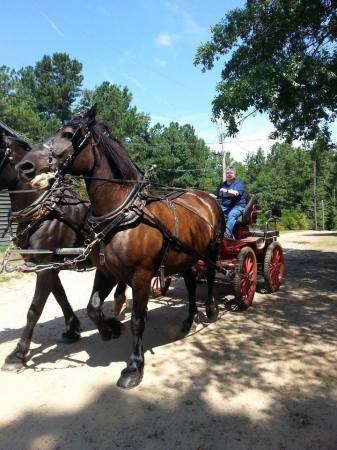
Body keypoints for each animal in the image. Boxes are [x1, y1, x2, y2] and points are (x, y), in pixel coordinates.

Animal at [0, 134, 126, 372]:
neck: (44, 214)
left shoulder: (45, 267)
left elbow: (34, 310)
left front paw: (18, 354)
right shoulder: (48, 266)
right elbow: (60, 296)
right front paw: (72, 329)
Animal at [18, 107, 223, 388]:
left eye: (68, 134)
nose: (25, 165)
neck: (122, 214)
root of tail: (206, 197)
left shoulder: (141, 277)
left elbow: (138, 320)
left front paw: (134, 368)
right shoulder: (105, 270)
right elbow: (93, 307)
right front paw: (111, 329)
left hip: (210, 251)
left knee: (211, 275)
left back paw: (211, 310)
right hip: (185, 257)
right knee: (192, 283)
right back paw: (189, 318)